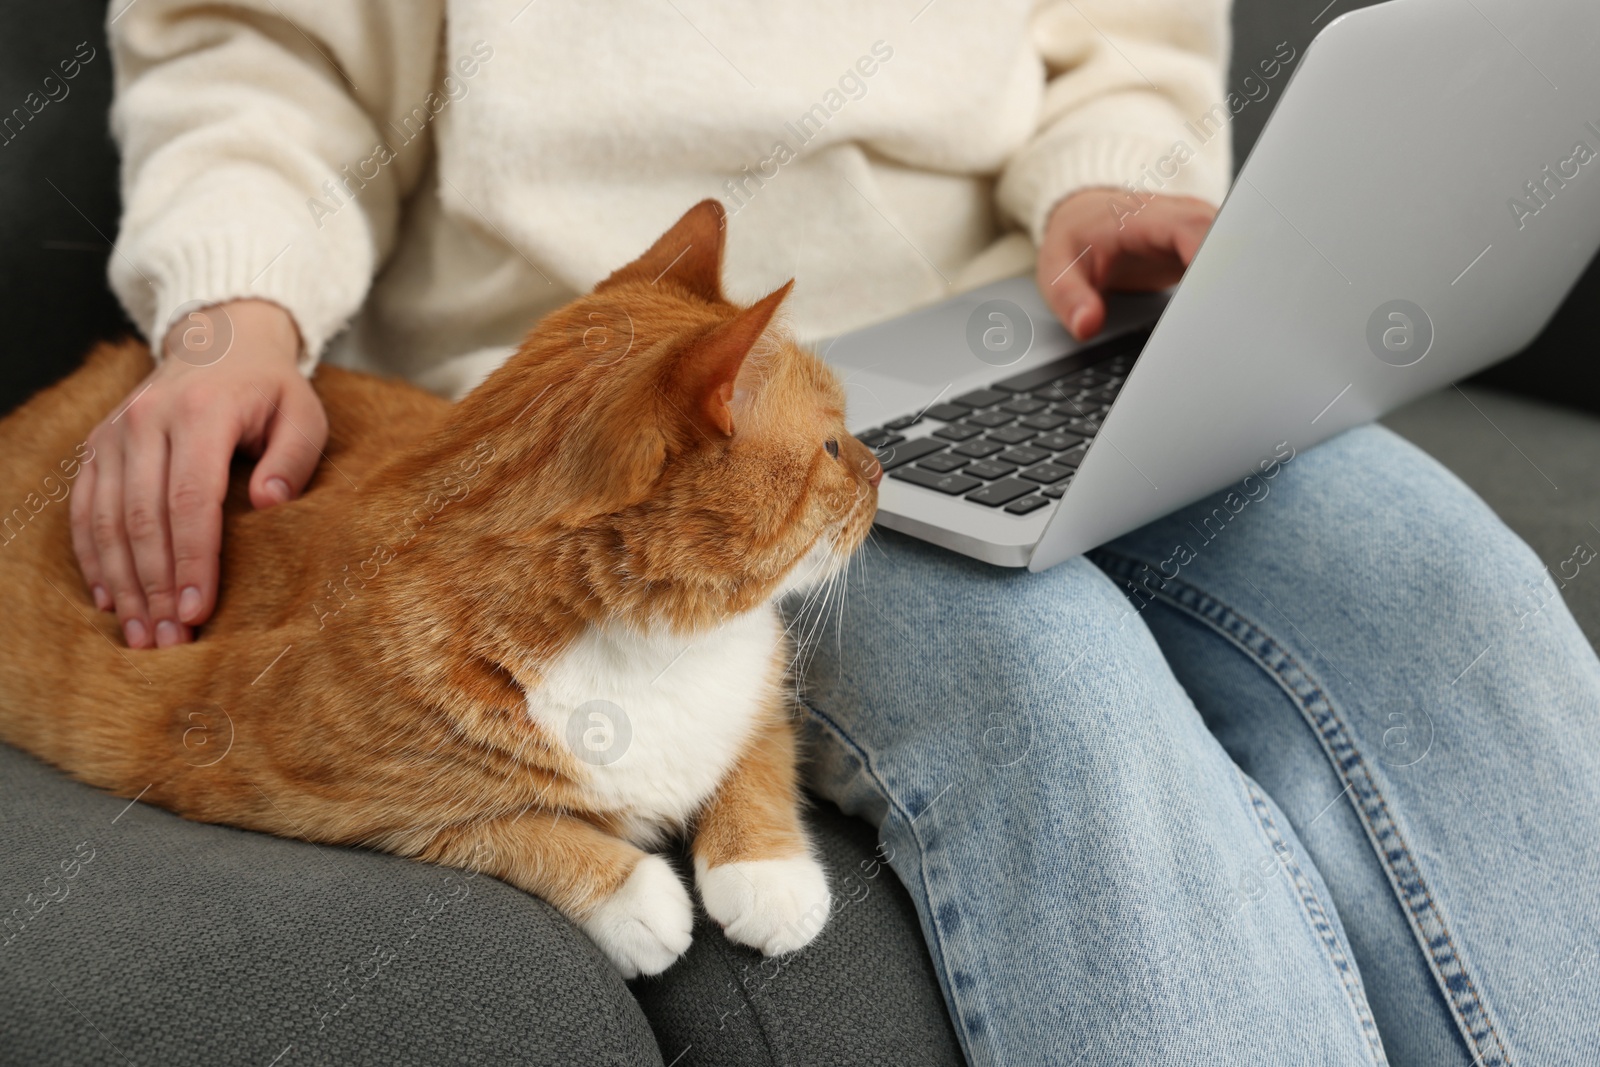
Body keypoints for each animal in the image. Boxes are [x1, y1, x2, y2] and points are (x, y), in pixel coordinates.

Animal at [0, 199, 883, 979]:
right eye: (833, 446)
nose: (881, 469)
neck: (653, 645)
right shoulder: (302, 786)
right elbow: (504, 823)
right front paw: (633, 895)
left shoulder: (757, 694)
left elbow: (755, 758)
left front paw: (767, 874)